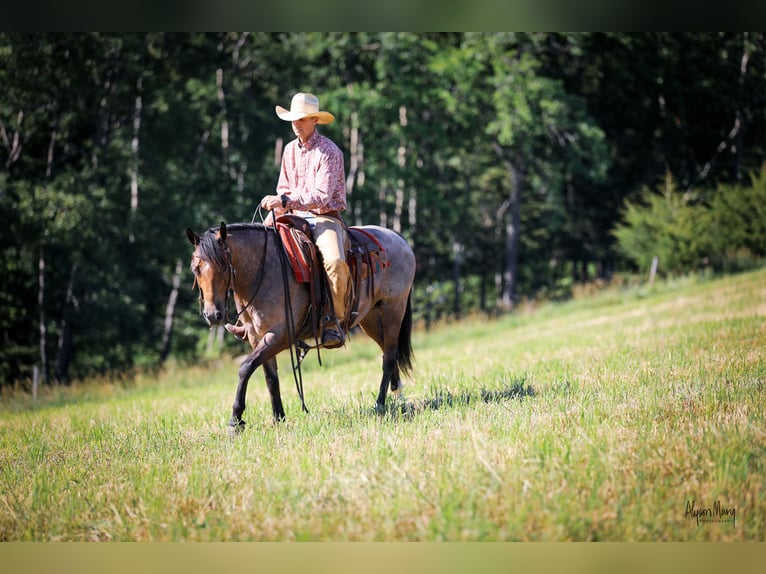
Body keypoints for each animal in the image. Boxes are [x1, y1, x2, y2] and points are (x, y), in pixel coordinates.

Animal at [186, 221, 416, 431]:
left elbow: (245, 367)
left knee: (389, 357)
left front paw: (236, 420)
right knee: (389, 353)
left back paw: (380, 403)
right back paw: (398, 396)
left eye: (223, 265)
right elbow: (270, 378)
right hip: (371, 319)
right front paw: (278, 418)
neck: (264, 271)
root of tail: (399, 239)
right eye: (195, 269)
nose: (213, 315)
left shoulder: (280, 335)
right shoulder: (256, 337)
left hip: (392, 310)